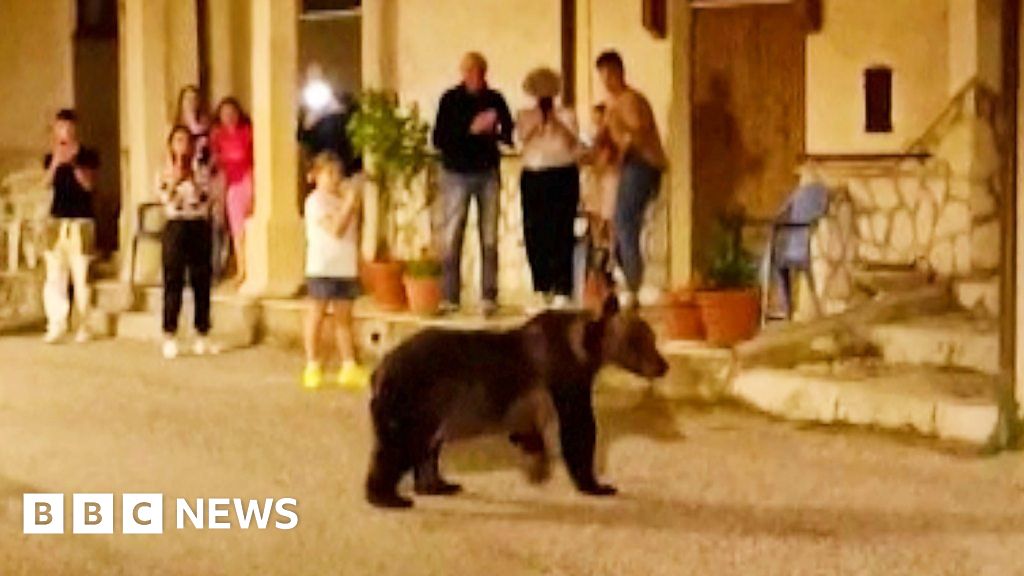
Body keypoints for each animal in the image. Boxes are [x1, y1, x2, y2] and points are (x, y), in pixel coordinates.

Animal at [364, 295, 667, 506]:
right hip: (411, 399)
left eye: (653, 337)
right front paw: (597, 485)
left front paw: (538, 466)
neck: (584, 349)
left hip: (434, 409)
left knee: (426, 449)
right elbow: (577, 432)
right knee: (397, 447)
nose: (663, 366)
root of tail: (379, 370)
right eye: (640, 340)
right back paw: (388, 498)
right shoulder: (565, 379)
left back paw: (439, 485)